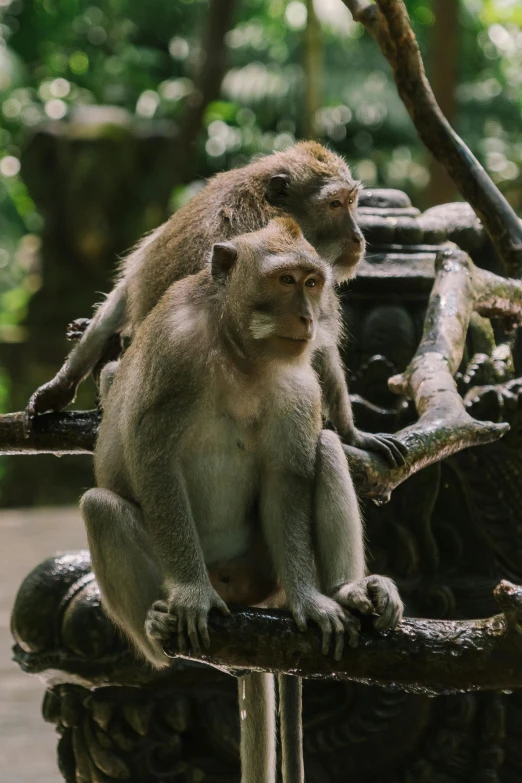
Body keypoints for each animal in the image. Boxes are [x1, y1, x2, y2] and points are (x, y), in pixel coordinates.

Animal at [80, 219, 402, 783]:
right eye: (285, 280)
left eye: (313, 282)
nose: (308, 317)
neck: (240, 355)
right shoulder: (174, 353)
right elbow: (154, 459)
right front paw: (190, 595)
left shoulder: (297, 382)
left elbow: (286, 479)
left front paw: (310, 600)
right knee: (99, 507)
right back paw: (161, 628)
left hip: (261, 570)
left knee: (323, 447)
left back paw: (348, 590)